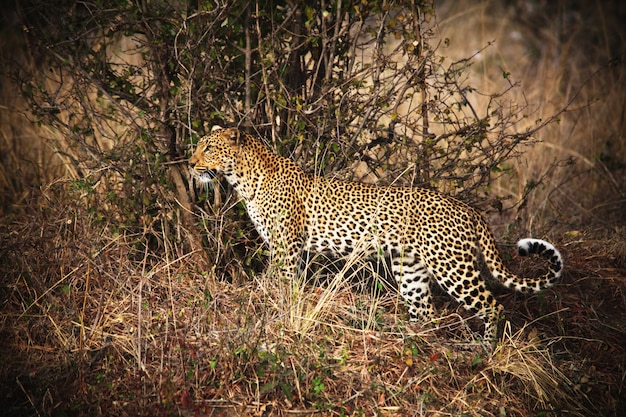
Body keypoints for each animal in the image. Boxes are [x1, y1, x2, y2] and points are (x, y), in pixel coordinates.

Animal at [188, 126, 564, 342]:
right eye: (199, 146)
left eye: (209, 148)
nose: (191, 165)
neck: (243, 179)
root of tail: (469, 209)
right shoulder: (287, 249)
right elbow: (287, 286)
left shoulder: (285, 247)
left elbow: (278, 284)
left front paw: (269, 313)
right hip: (410, 268)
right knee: (425, 312)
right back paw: (414, 341)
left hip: (452, 267)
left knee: (492, 306)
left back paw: (485, 350)